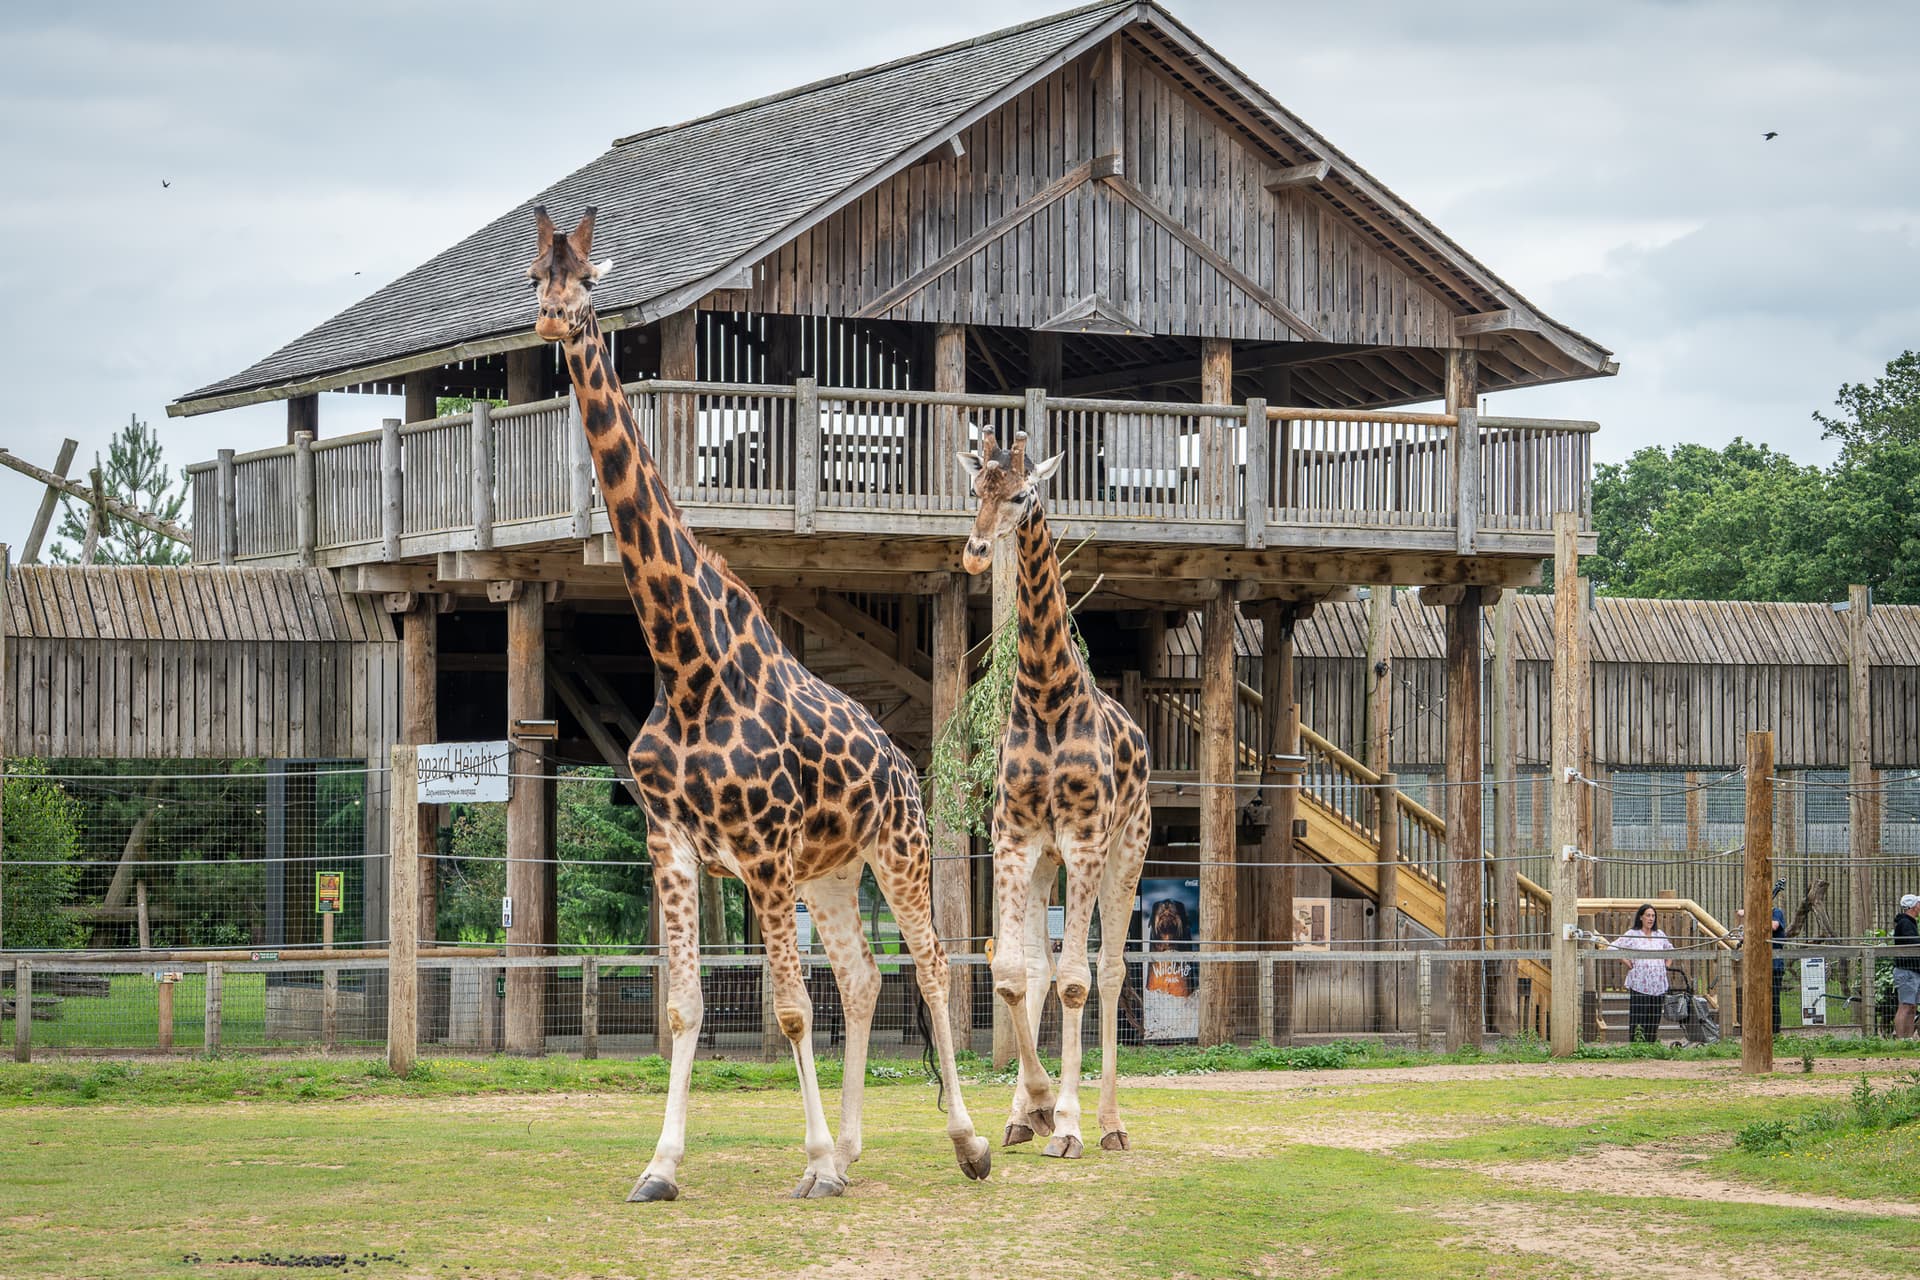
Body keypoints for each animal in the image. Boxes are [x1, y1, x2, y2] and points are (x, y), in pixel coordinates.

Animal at [528, 206, 991, 1201]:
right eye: (533, 277)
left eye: (586, 283)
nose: (551, 322)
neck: (686, 665)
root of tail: (905, 763)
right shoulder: (674, 845)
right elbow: (682, 1008)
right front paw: (661, 1167)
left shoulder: (766, 849)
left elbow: (787, 1010)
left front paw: (811, 1165)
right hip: (832, 873)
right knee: (864, 976)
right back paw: (854, 1147)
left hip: (895, 847)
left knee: (931, 964)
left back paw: (967, 1143)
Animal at [959, 429, 1153, 1158]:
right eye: (975, 490)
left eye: (1021, 495)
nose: (975, 551)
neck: (1045, 697)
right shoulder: (1016, 838)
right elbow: (1015, 974)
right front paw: (1036, 1107)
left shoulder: (1086, 838)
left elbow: (1076, 979)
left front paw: (1066, 1123)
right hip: (1048, 863)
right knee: (1041, 969)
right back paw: (1026, 1114)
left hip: (1128, 848)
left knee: (1112, 969)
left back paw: (1110, 1125)